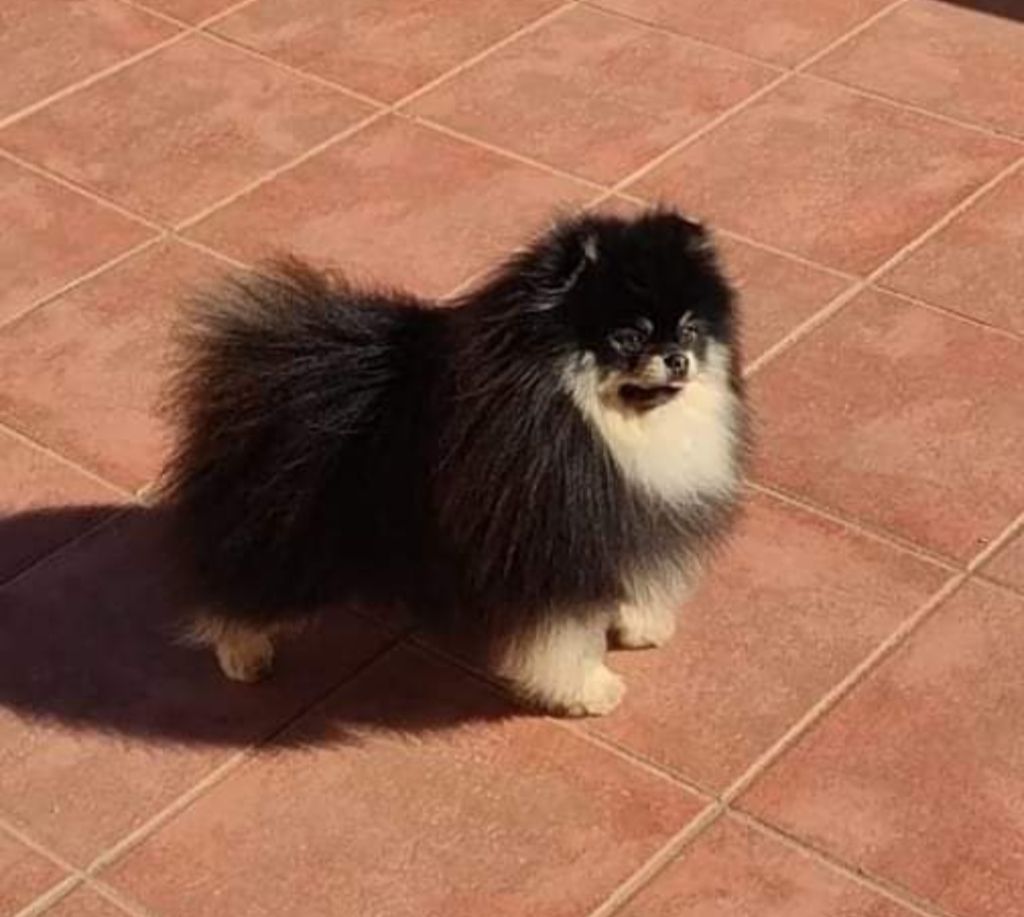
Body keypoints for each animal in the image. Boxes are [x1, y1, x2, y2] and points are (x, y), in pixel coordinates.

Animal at [160, 208, 747, 716]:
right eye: (627, 337)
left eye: (690, 329)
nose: (678, 359)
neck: (593, 420)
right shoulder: (550, 547)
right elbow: (565, 634)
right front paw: (587, 690)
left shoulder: (619, 522)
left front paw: (639, 623)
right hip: (288, 540)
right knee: (238, 590)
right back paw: (242, 655)